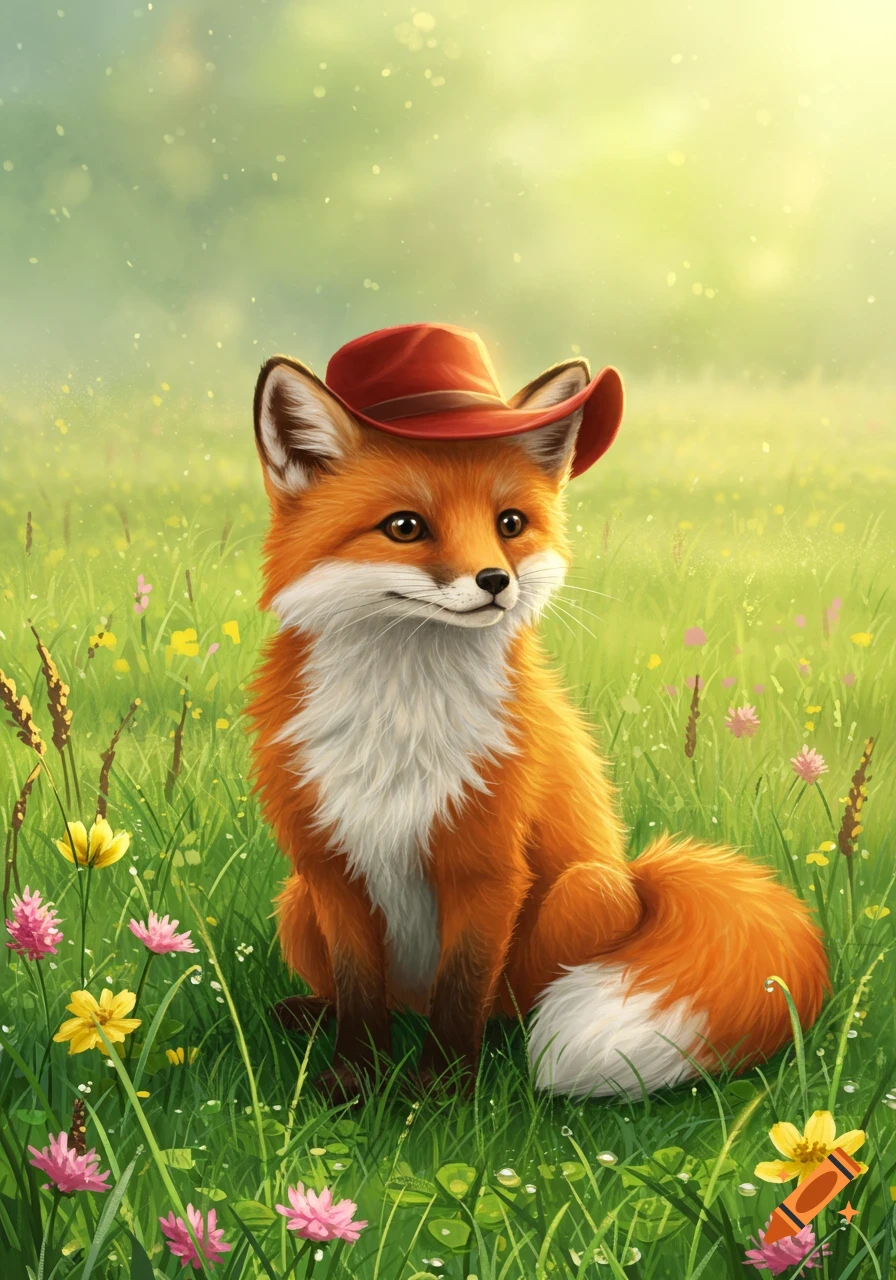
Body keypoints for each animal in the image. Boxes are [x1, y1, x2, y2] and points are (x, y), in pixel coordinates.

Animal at [248, 329, 828, 1100]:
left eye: (510, 524)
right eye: (405, 527)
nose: (496, 582)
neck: (402, 721)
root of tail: (637, 876)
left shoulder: (489, 869)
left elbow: (462, 994)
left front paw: (441, 1094)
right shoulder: (332, 867)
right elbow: (360, 993)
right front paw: (351, 1082)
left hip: (583, 892)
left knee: (502, 1006)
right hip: (294, 901)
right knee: (379, 1000)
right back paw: (312, 1015)